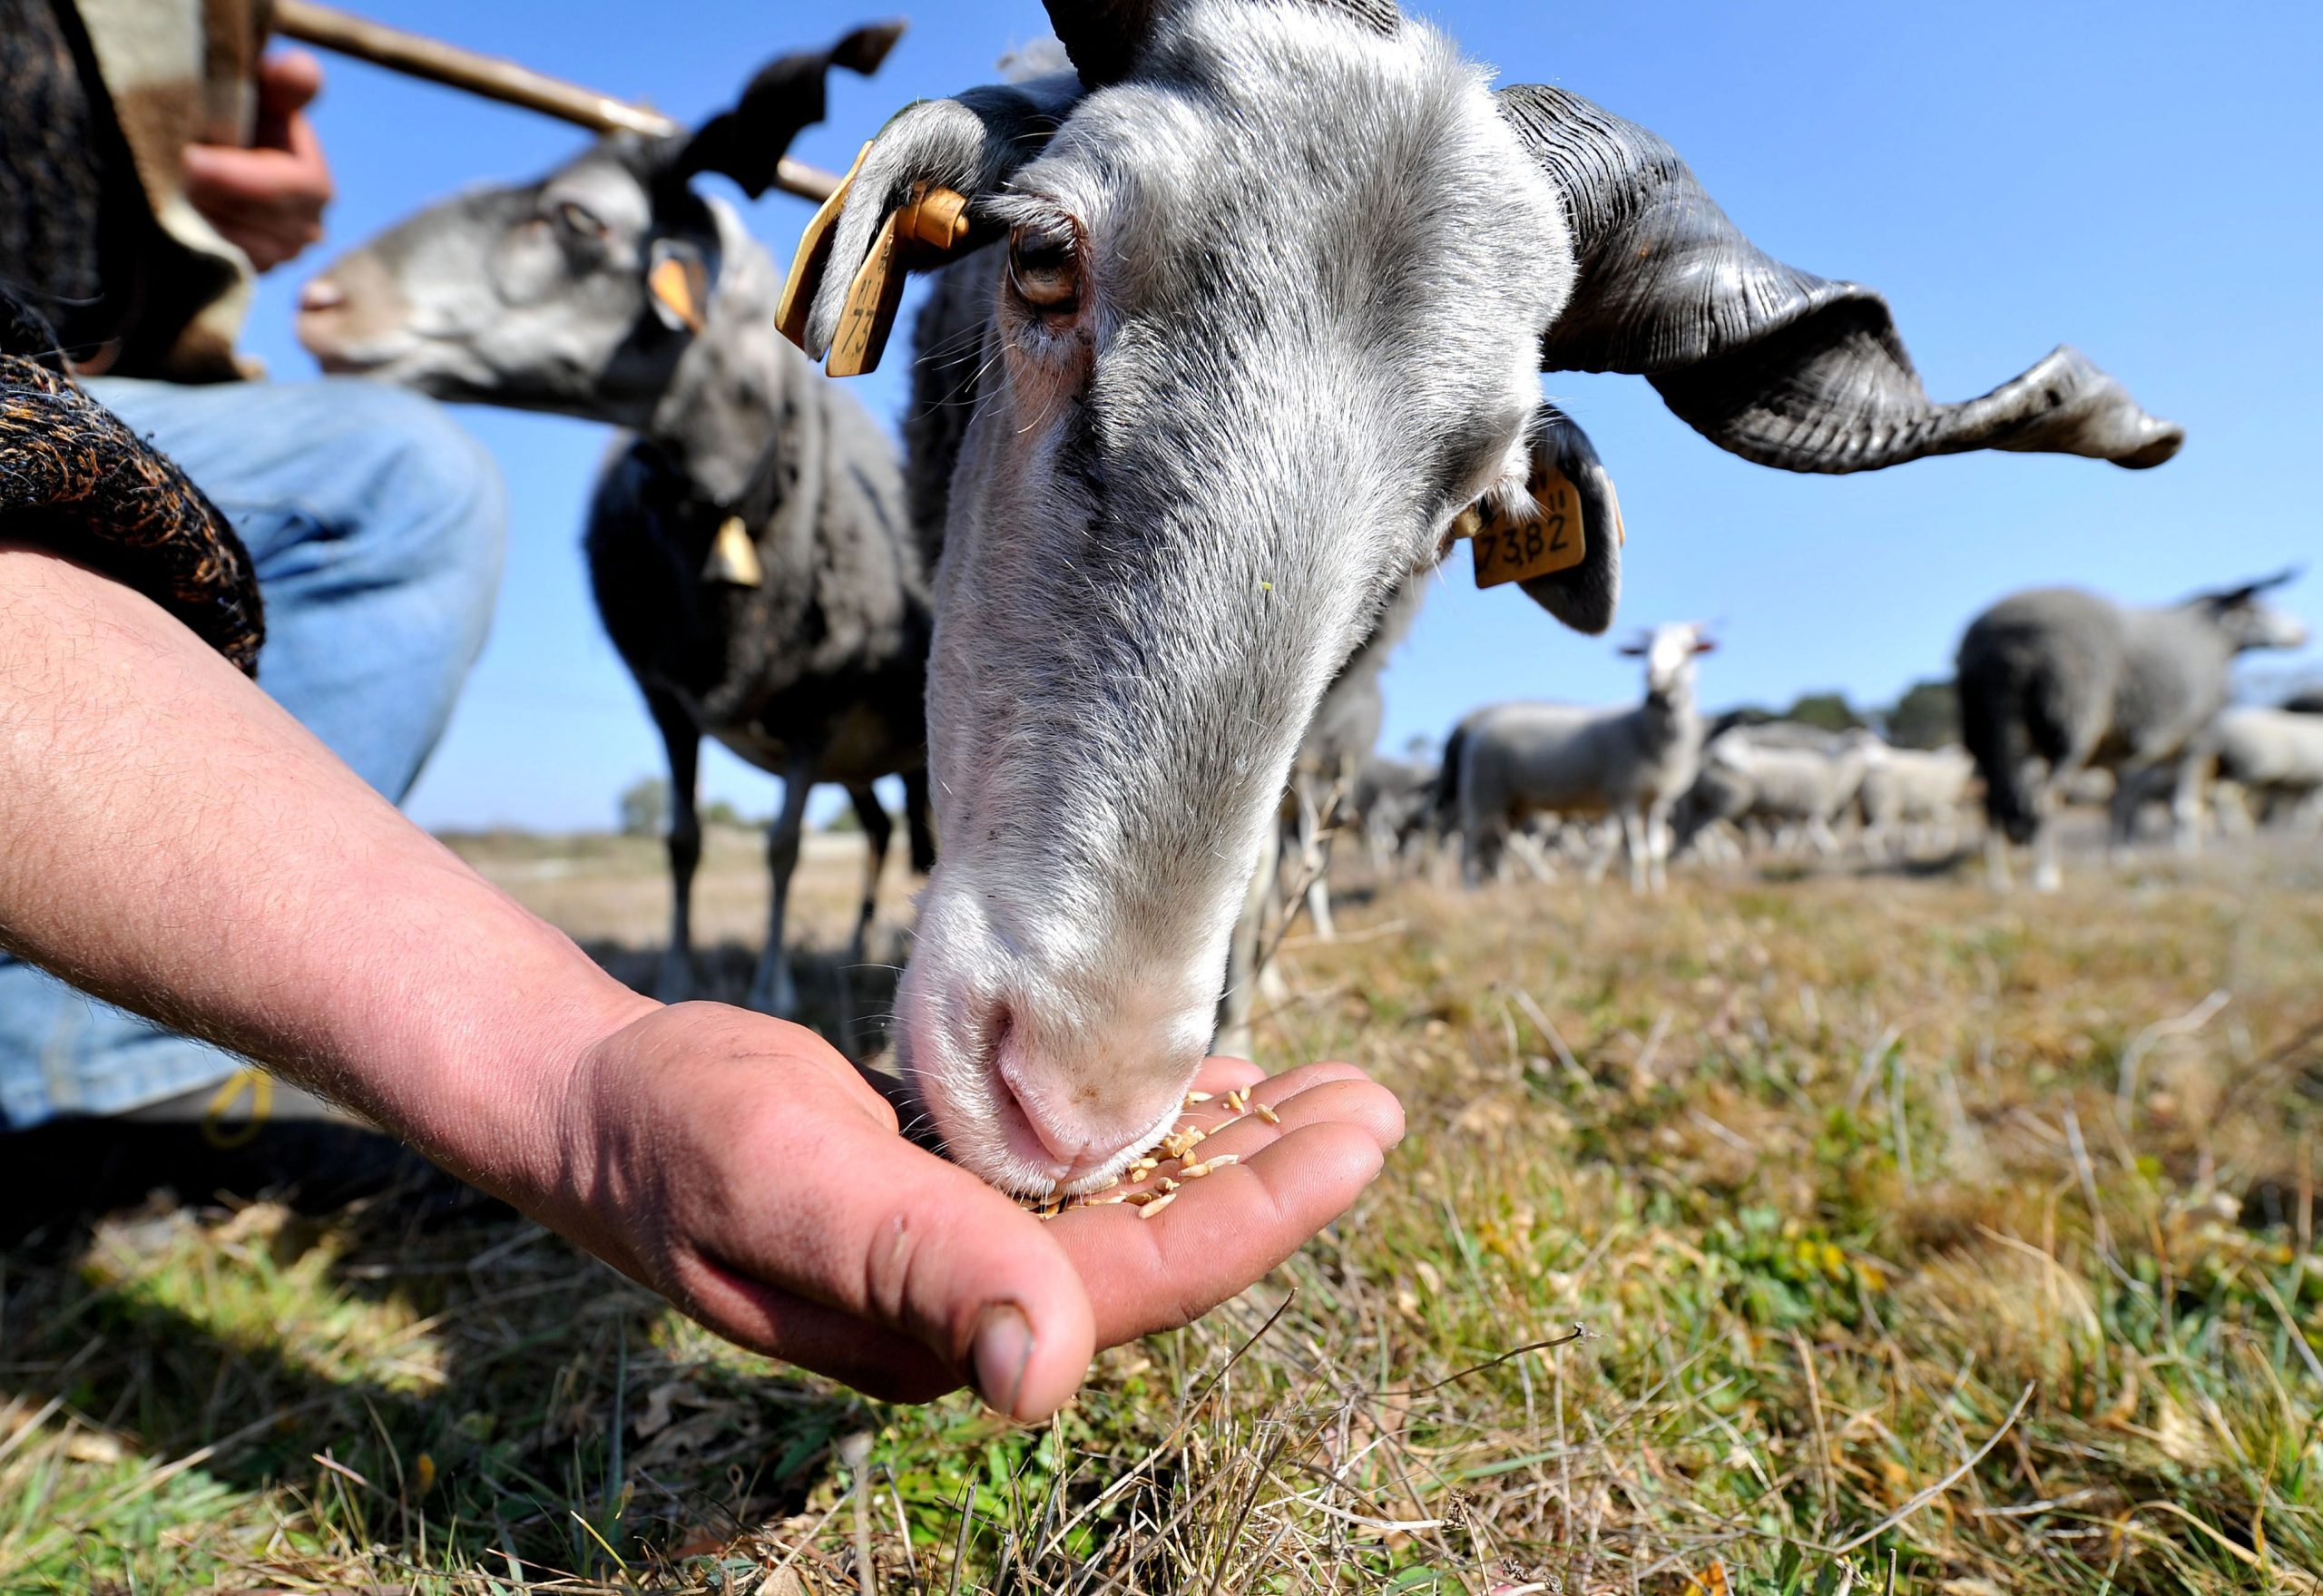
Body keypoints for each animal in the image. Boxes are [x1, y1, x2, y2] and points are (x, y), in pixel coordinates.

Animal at [297, 27, 935, 1018]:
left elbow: (783, 845)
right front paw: (676, 980)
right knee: (873, 834)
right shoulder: (664, 696)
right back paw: (859, 945)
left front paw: (771, 991)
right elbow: (683, 841)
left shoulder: (819, 707)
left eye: (578, 219)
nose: (322, 304)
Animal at [1442, 623, 1714, 893]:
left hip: (1513, 803)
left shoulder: (1657, 800)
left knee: (1499, 845)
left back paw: (1504, 887)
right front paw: (1636, 890)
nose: (1653, 673)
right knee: (1471, 844)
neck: (1645, 729)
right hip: (1485, 796)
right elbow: (1636, 852)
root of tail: (1480, 728)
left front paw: (1656, 889)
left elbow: (1654, 851)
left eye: (1687, 647)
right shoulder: (1626, 795)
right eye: (1644, 650)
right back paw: (1472, 888)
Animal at [1956, 573, 2306, 890]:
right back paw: (2045, 875)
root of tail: (2001, 634)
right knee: (2044, 800)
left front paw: (2121, 857)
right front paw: (2186, 853)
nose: (2304, 633)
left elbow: (2122, 804)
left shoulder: (2122, 751)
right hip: (2068, 717)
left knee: (1994, 803)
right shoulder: (2196, 737)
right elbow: (2183, 807)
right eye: (2260, 609)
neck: (2212, 638)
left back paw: (1999, 878)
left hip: (1988, 727)